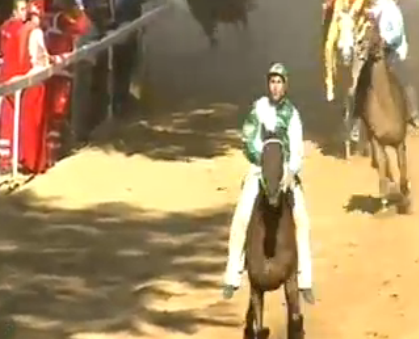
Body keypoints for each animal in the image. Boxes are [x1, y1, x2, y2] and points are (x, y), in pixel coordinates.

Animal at [244, 127, 304, 339]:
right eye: (262, 156)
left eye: (283, 154)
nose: (272, 195)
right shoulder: (256, 287)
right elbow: (259, 328)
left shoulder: (291, 280)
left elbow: (295, 321)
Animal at [354, 15, 410, 212]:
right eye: (361, 29)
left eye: (376, 30)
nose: (360, 45)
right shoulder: (377, 139)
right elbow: (383, 164)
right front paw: (386, 198)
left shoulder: (400, 141)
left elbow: (402, 168)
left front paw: (405, 200)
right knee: (382, 162)